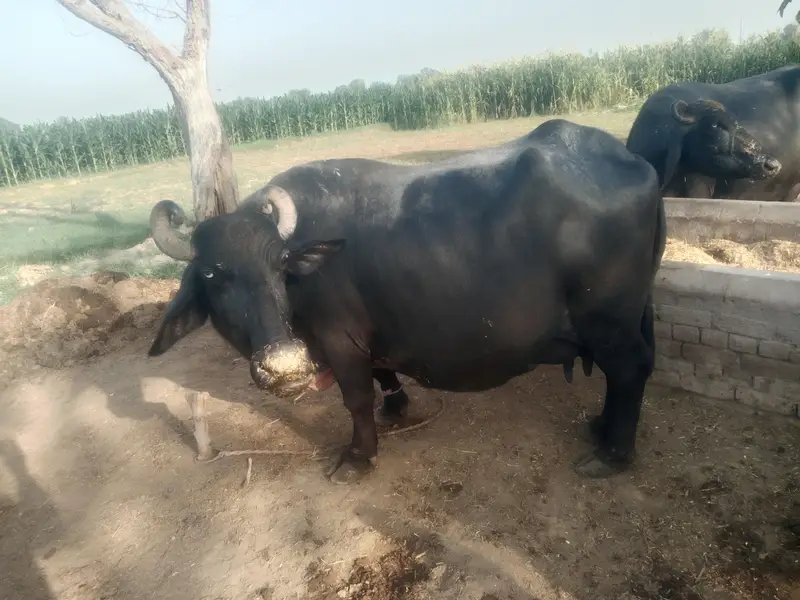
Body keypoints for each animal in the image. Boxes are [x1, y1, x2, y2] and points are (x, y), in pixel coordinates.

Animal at [148, 118, 666, 485]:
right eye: (213, 274)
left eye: (280, 265)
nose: (285, 365)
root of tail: (634, 161)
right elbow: (383, 374)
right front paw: (396, 407)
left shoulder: (339, 340)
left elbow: (356, 399)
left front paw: (358, 456)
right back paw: (601, 426)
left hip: (609, 318)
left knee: (630, 369)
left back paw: (611, 453)